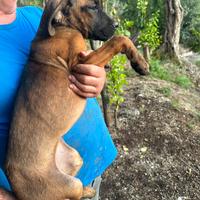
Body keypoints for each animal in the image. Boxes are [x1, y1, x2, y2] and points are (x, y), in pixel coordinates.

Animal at [5, 0, 148, 200]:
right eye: (92, 7)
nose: (116, 25)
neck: (60, 28)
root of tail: (15, 190)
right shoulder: (80, 64)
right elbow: (118, 40)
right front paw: (140, 63)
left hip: (73, 158)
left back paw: (89, 189)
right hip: (69, 184)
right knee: (74, 191)